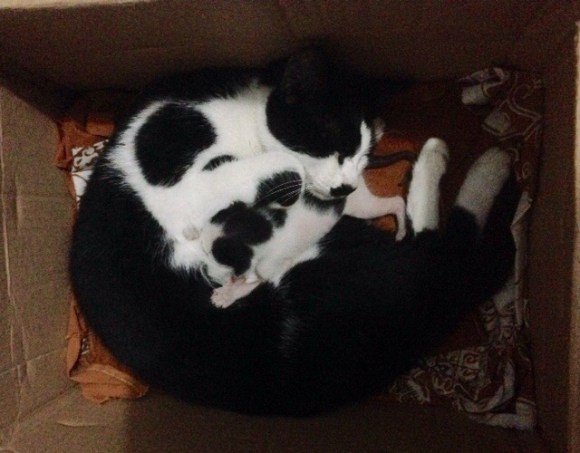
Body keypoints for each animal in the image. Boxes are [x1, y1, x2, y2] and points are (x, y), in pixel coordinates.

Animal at [70, 50, 517, 416]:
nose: (345, 187)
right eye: (333, 144)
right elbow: (285, 164)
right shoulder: (183, 187)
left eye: (365, 154)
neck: (243, 110)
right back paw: (466, 160)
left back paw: (476, 162)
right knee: (439, 244)